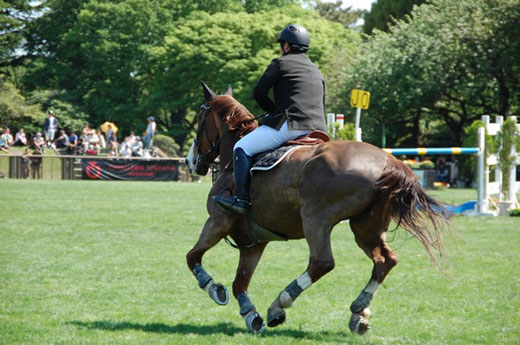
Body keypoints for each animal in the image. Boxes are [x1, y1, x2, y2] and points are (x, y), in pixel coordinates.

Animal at [185, 80, 448, 334]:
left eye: (200, 119)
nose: (189, 161)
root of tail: (389, 161)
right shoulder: (254, 243)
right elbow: (239, 283)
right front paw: (251, 316)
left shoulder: (217, 222)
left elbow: (192, 257)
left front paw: (214, 288)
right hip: (366, 226)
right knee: (385, 260)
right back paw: (358, 312)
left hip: (315, 219)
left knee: (322, 262)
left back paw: (279, 305)